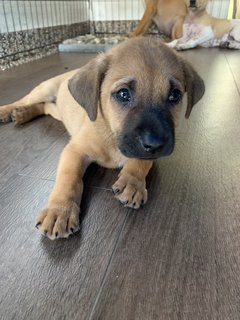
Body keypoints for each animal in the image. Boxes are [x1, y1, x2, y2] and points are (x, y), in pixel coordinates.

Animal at [0, 37, 204, 240]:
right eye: (123, 94)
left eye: (175, 95)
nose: (155, 144)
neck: (112, 135)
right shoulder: (75, 150)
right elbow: (69, 178)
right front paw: (59, 211)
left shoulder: (146, 153)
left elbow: (141, 162)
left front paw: (132, 182)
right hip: (45, 89)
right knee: (26, 99)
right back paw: (8, 111)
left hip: (57, 110)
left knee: (43, 107)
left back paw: (22, 114)